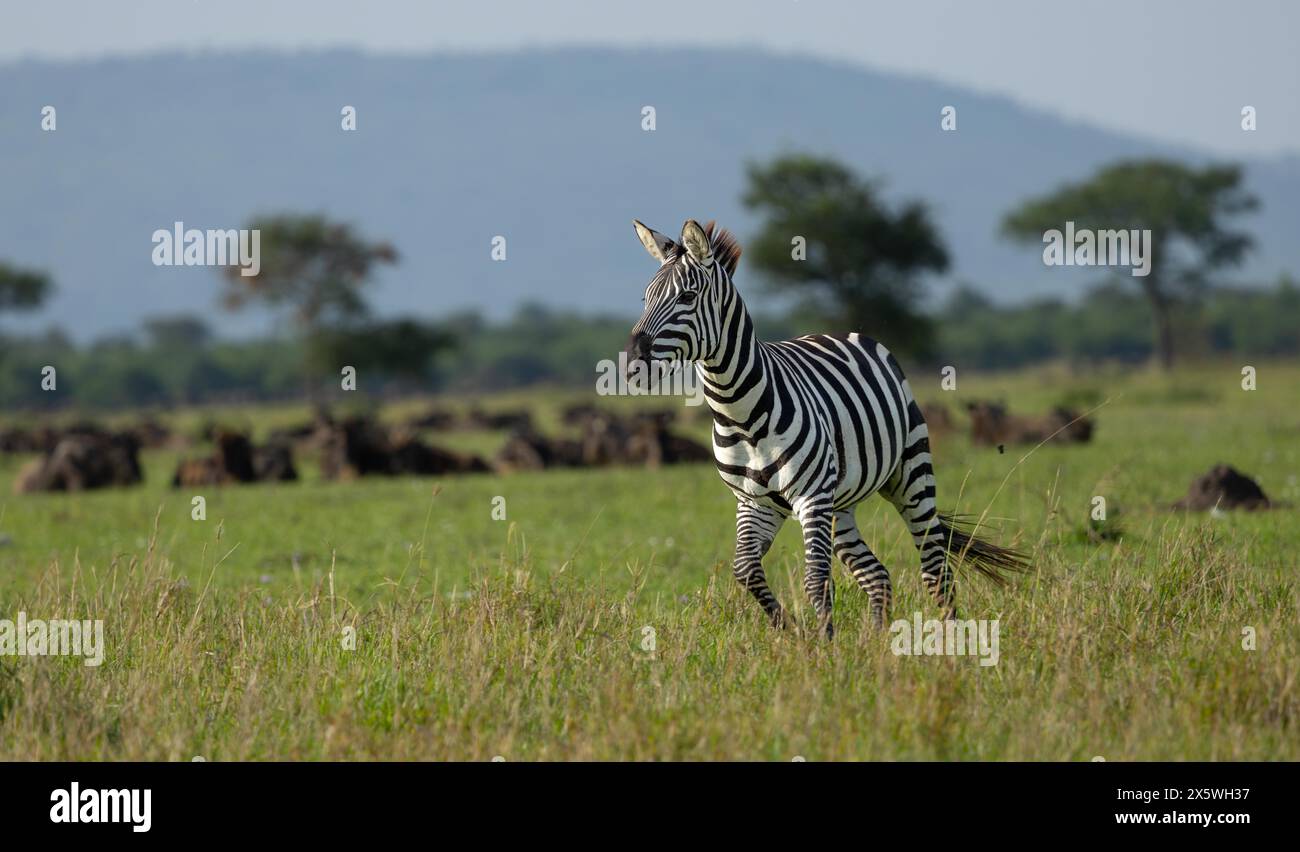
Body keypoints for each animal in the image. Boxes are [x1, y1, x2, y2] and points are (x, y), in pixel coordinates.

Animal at [626, 217, 1024, 637]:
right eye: (645, 299)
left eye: (687, 297)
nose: (633, 361)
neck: (740, 415)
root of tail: (846, 333)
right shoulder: (754, 502)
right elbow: (746, 571)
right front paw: (791, 633)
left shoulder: (811, 497)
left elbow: (815, 581)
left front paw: (822, 647)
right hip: (840, 504)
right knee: (877, 575)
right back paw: (876, 643)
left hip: (910, 472)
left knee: (934, 567)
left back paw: (948, 639)